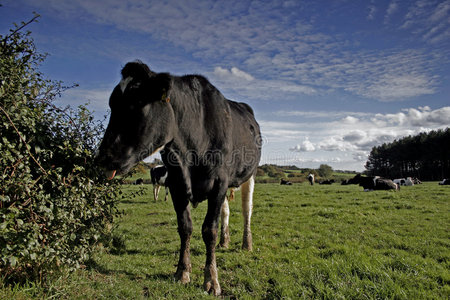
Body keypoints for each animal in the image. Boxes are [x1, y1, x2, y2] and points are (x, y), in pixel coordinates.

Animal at [96, 61, 262, 296]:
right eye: (112, 104)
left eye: (136, 104)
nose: (102, 158)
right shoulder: (176, 184)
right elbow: (185, 227)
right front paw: (182, 271)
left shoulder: (218, 183)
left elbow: (209, 230)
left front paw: (211, 279)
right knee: (226, 211)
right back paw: (225, 241)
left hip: (249, 175)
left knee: (247, 209)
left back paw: (246, 244)